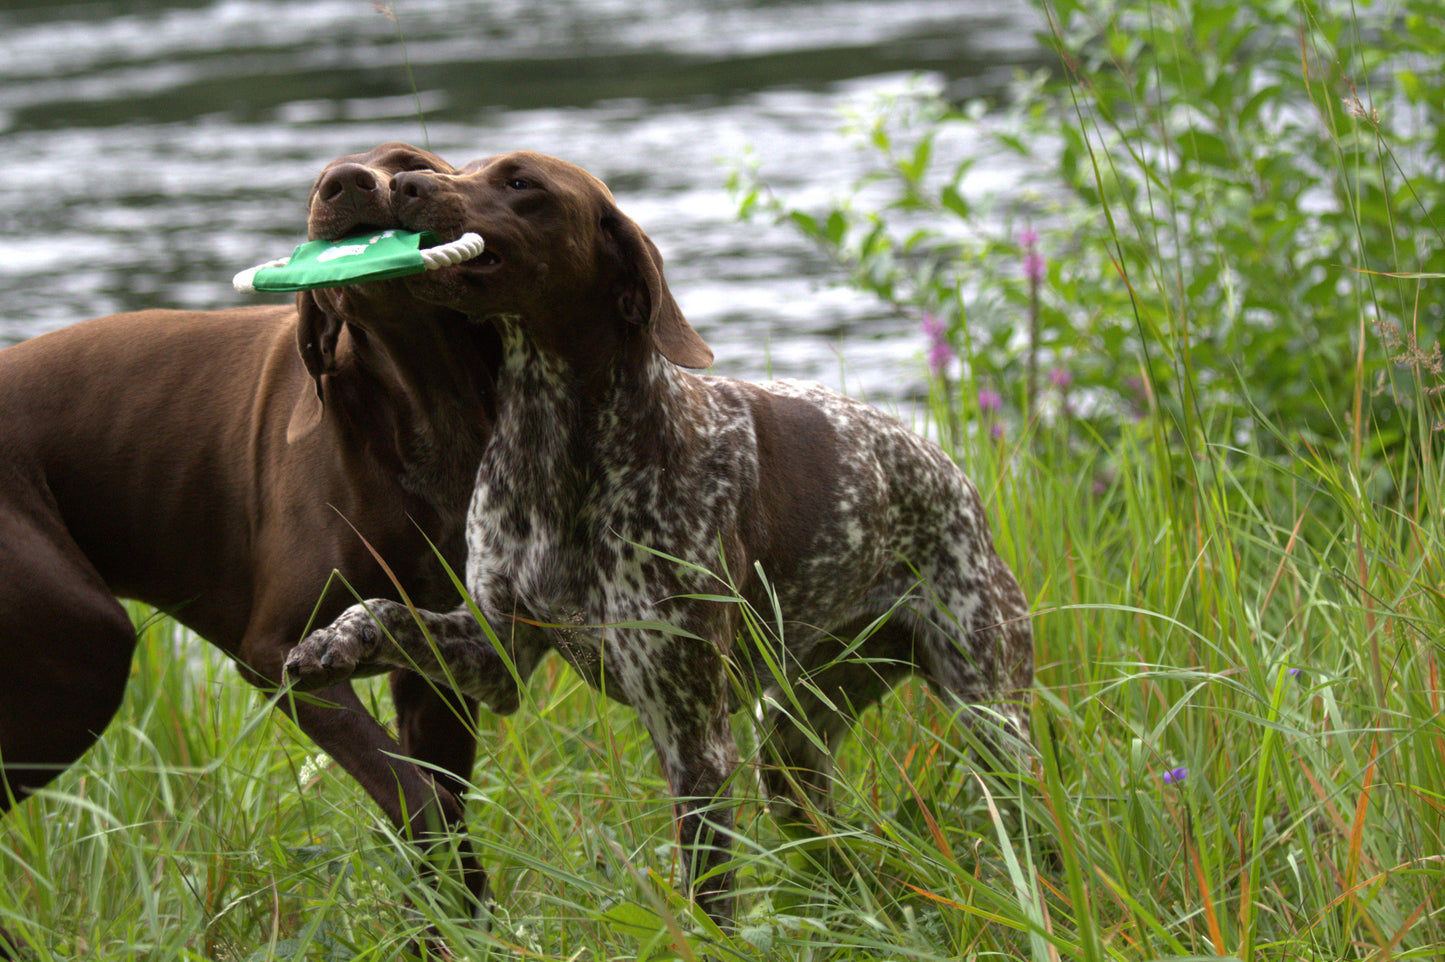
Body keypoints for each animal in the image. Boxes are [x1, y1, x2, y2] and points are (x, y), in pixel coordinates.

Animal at [0, 138, 502, 947]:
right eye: (322, 178)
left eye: (409, 161)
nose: (343, 184)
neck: (422, 406)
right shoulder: (279, 657)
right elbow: (416, 797)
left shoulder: (432, 663)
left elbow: (443, 807)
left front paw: (456, 930)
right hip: (81, 653)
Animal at [281, 150, 1034, 924]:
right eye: (462, 166)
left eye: (522, 184)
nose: (402, 186)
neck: (551, 451)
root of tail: (950, 471)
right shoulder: (498, 657)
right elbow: (387, 613)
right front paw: (335, 640)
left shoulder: (693, 737)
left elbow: (709, 900)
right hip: (792, 750)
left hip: (990, 716)